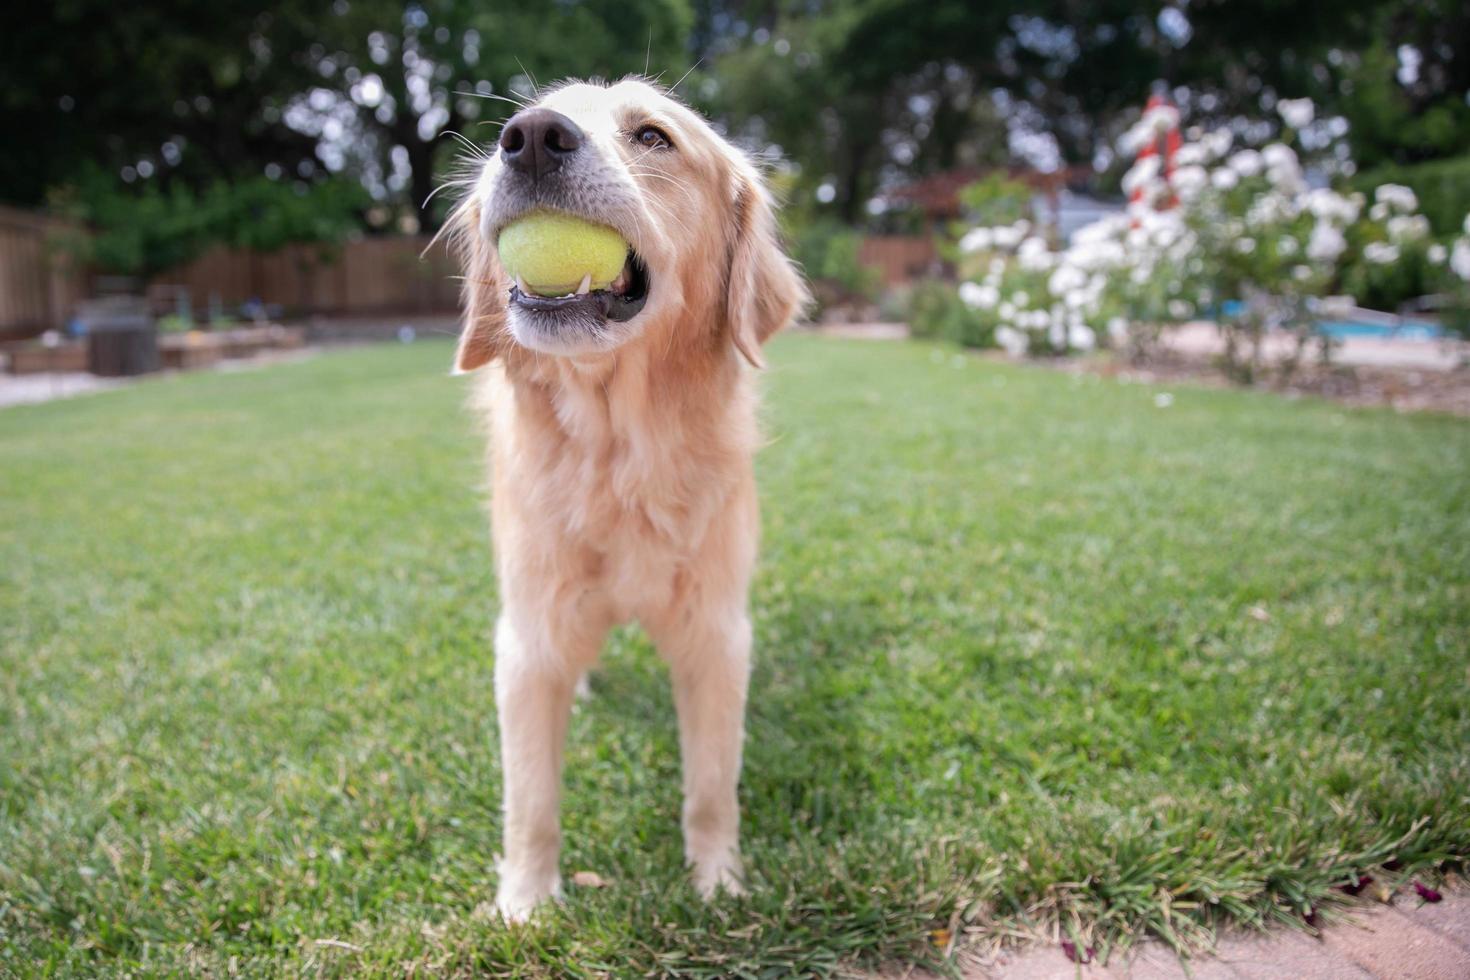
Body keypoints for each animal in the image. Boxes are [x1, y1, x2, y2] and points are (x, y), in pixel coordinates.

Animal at [446, 76, 811, 922]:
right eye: (532, 119)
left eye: (653, 137)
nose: (530, 137)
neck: (618, 456)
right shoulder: (529, 639)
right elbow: (531, 802)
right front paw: (526, 903)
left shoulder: (715, 634)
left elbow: (711, 787)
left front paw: (717, 884)